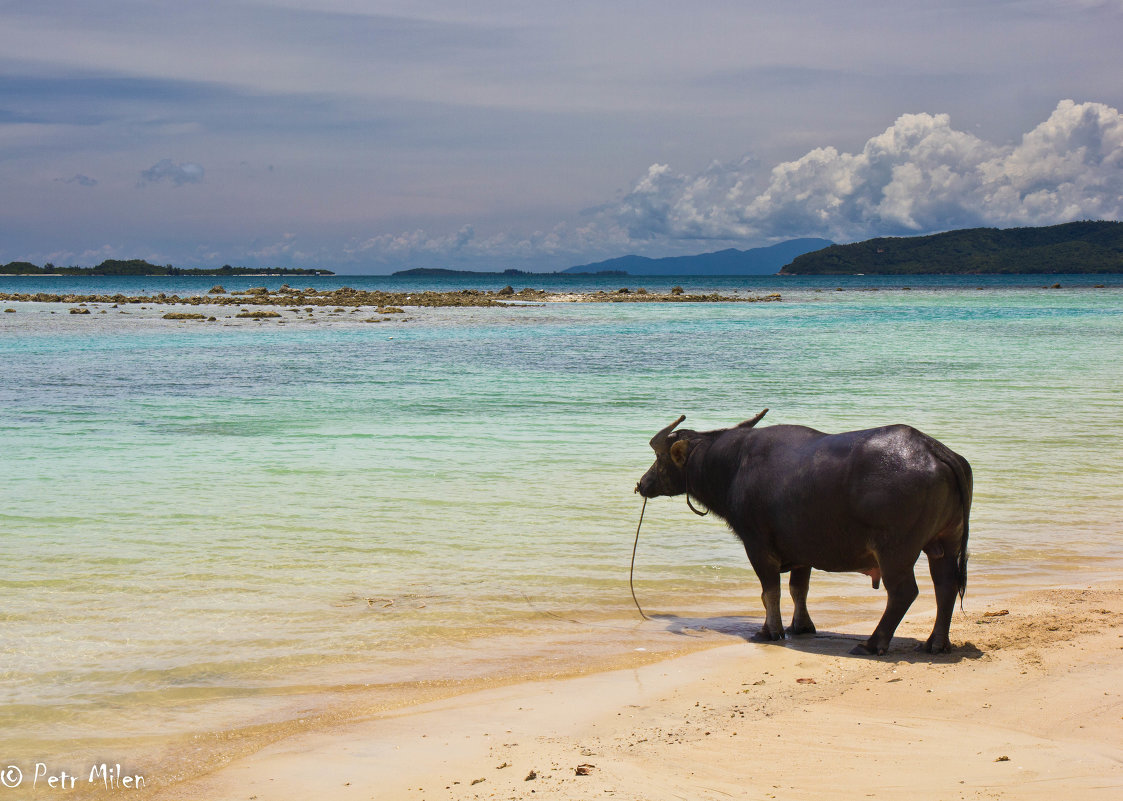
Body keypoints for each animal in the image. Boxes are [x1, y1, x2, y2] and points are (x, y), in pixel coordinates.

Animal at [637, 413, 970, 656]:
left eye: (660, 458)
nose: (642, 483)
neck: (733, 466)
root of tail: (934, 449)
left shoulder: (757, 545)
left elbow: (769, 591)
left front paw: (769, 631)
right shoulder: (802, 550)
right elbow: (799, 589)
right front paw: (802, 626)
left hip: (895, 551)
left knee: (903, 592)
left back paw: (873, 643)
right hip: (945, 543)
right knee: (946, 586)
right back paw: (936, 643)